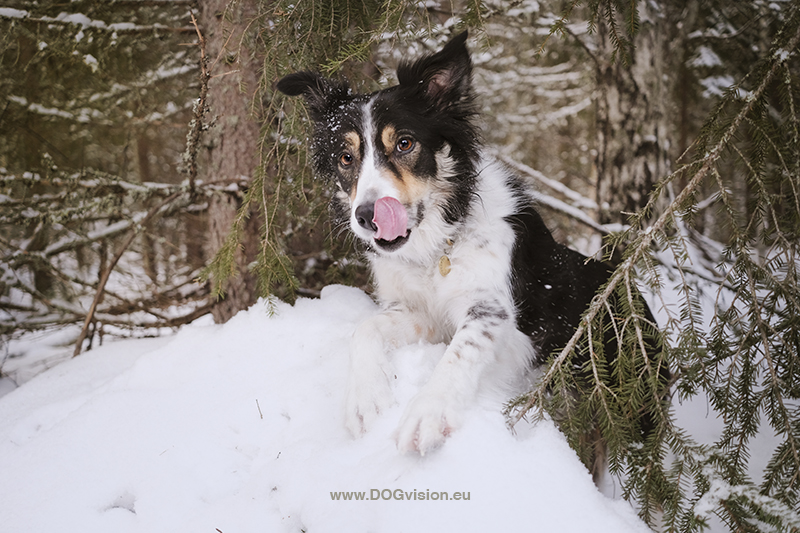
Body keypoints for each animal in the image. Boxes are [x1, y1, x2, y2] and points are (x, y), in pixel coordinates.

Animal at [278, 32, 664, 462]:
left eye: (405, 143)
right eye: (346, 158)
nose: (366, 216)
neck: (437, 247)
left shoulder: (492, 311)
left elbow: (462, 350)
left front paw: (427, 413)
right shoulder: (421, 314)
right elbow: (365, 328)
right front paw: (365, 401)